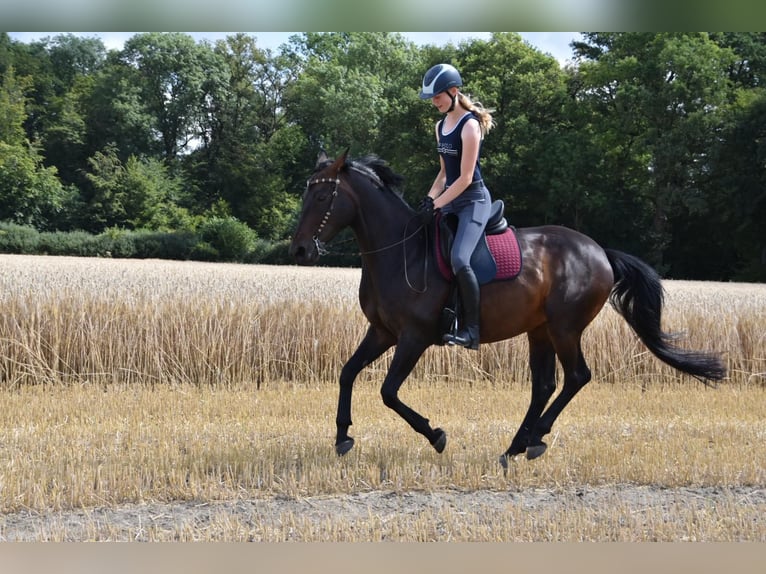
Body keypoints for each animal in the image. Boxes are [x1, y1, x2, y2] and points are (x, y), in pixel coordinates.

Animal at [288, 150, 728, 468]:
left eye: (323, 196)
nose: (300, 250)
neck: (399, 251)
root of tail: (600, 251)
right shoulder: (382, 332)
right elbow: (347, 373)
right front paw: (342, 436)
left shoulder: (414, 337)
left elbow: (388, 392)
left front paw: (436, 435)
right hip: (540, 330)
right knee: (544, 385)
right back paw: (516, 445)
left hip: (565, 328)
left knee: (577, 377)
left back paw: (533, 439)